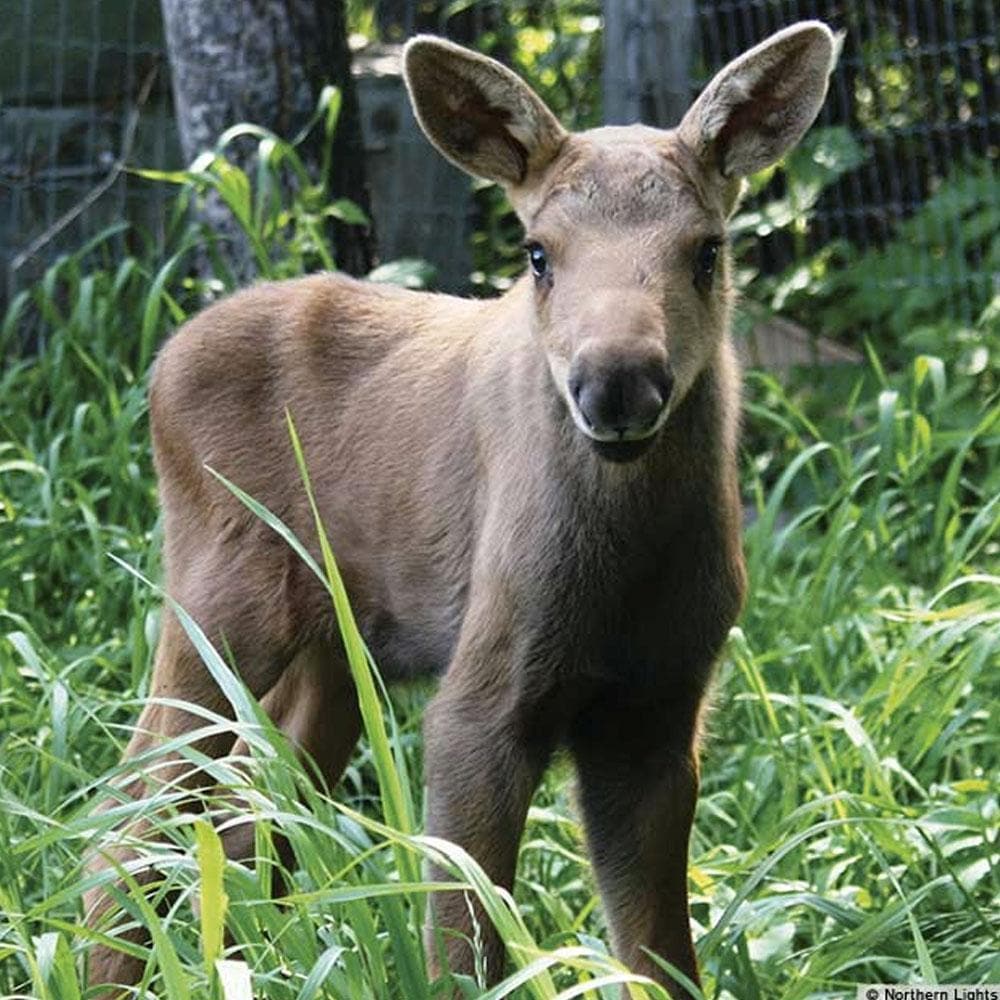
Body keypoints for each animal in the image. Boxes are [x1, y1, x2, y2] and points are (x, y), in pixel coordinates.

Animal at [86, 19, 840, 996]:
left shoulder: (663, 707)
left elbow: (658, 954)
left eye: (707, 249)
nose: (618, 381)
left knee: (256, 816)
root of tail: (160, 369)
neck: (630, 570)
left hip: (334, 652)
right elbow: (464, 942)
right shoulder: (482, 696)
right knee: (131, 815)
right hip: (217, 596)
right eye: (538, 253)